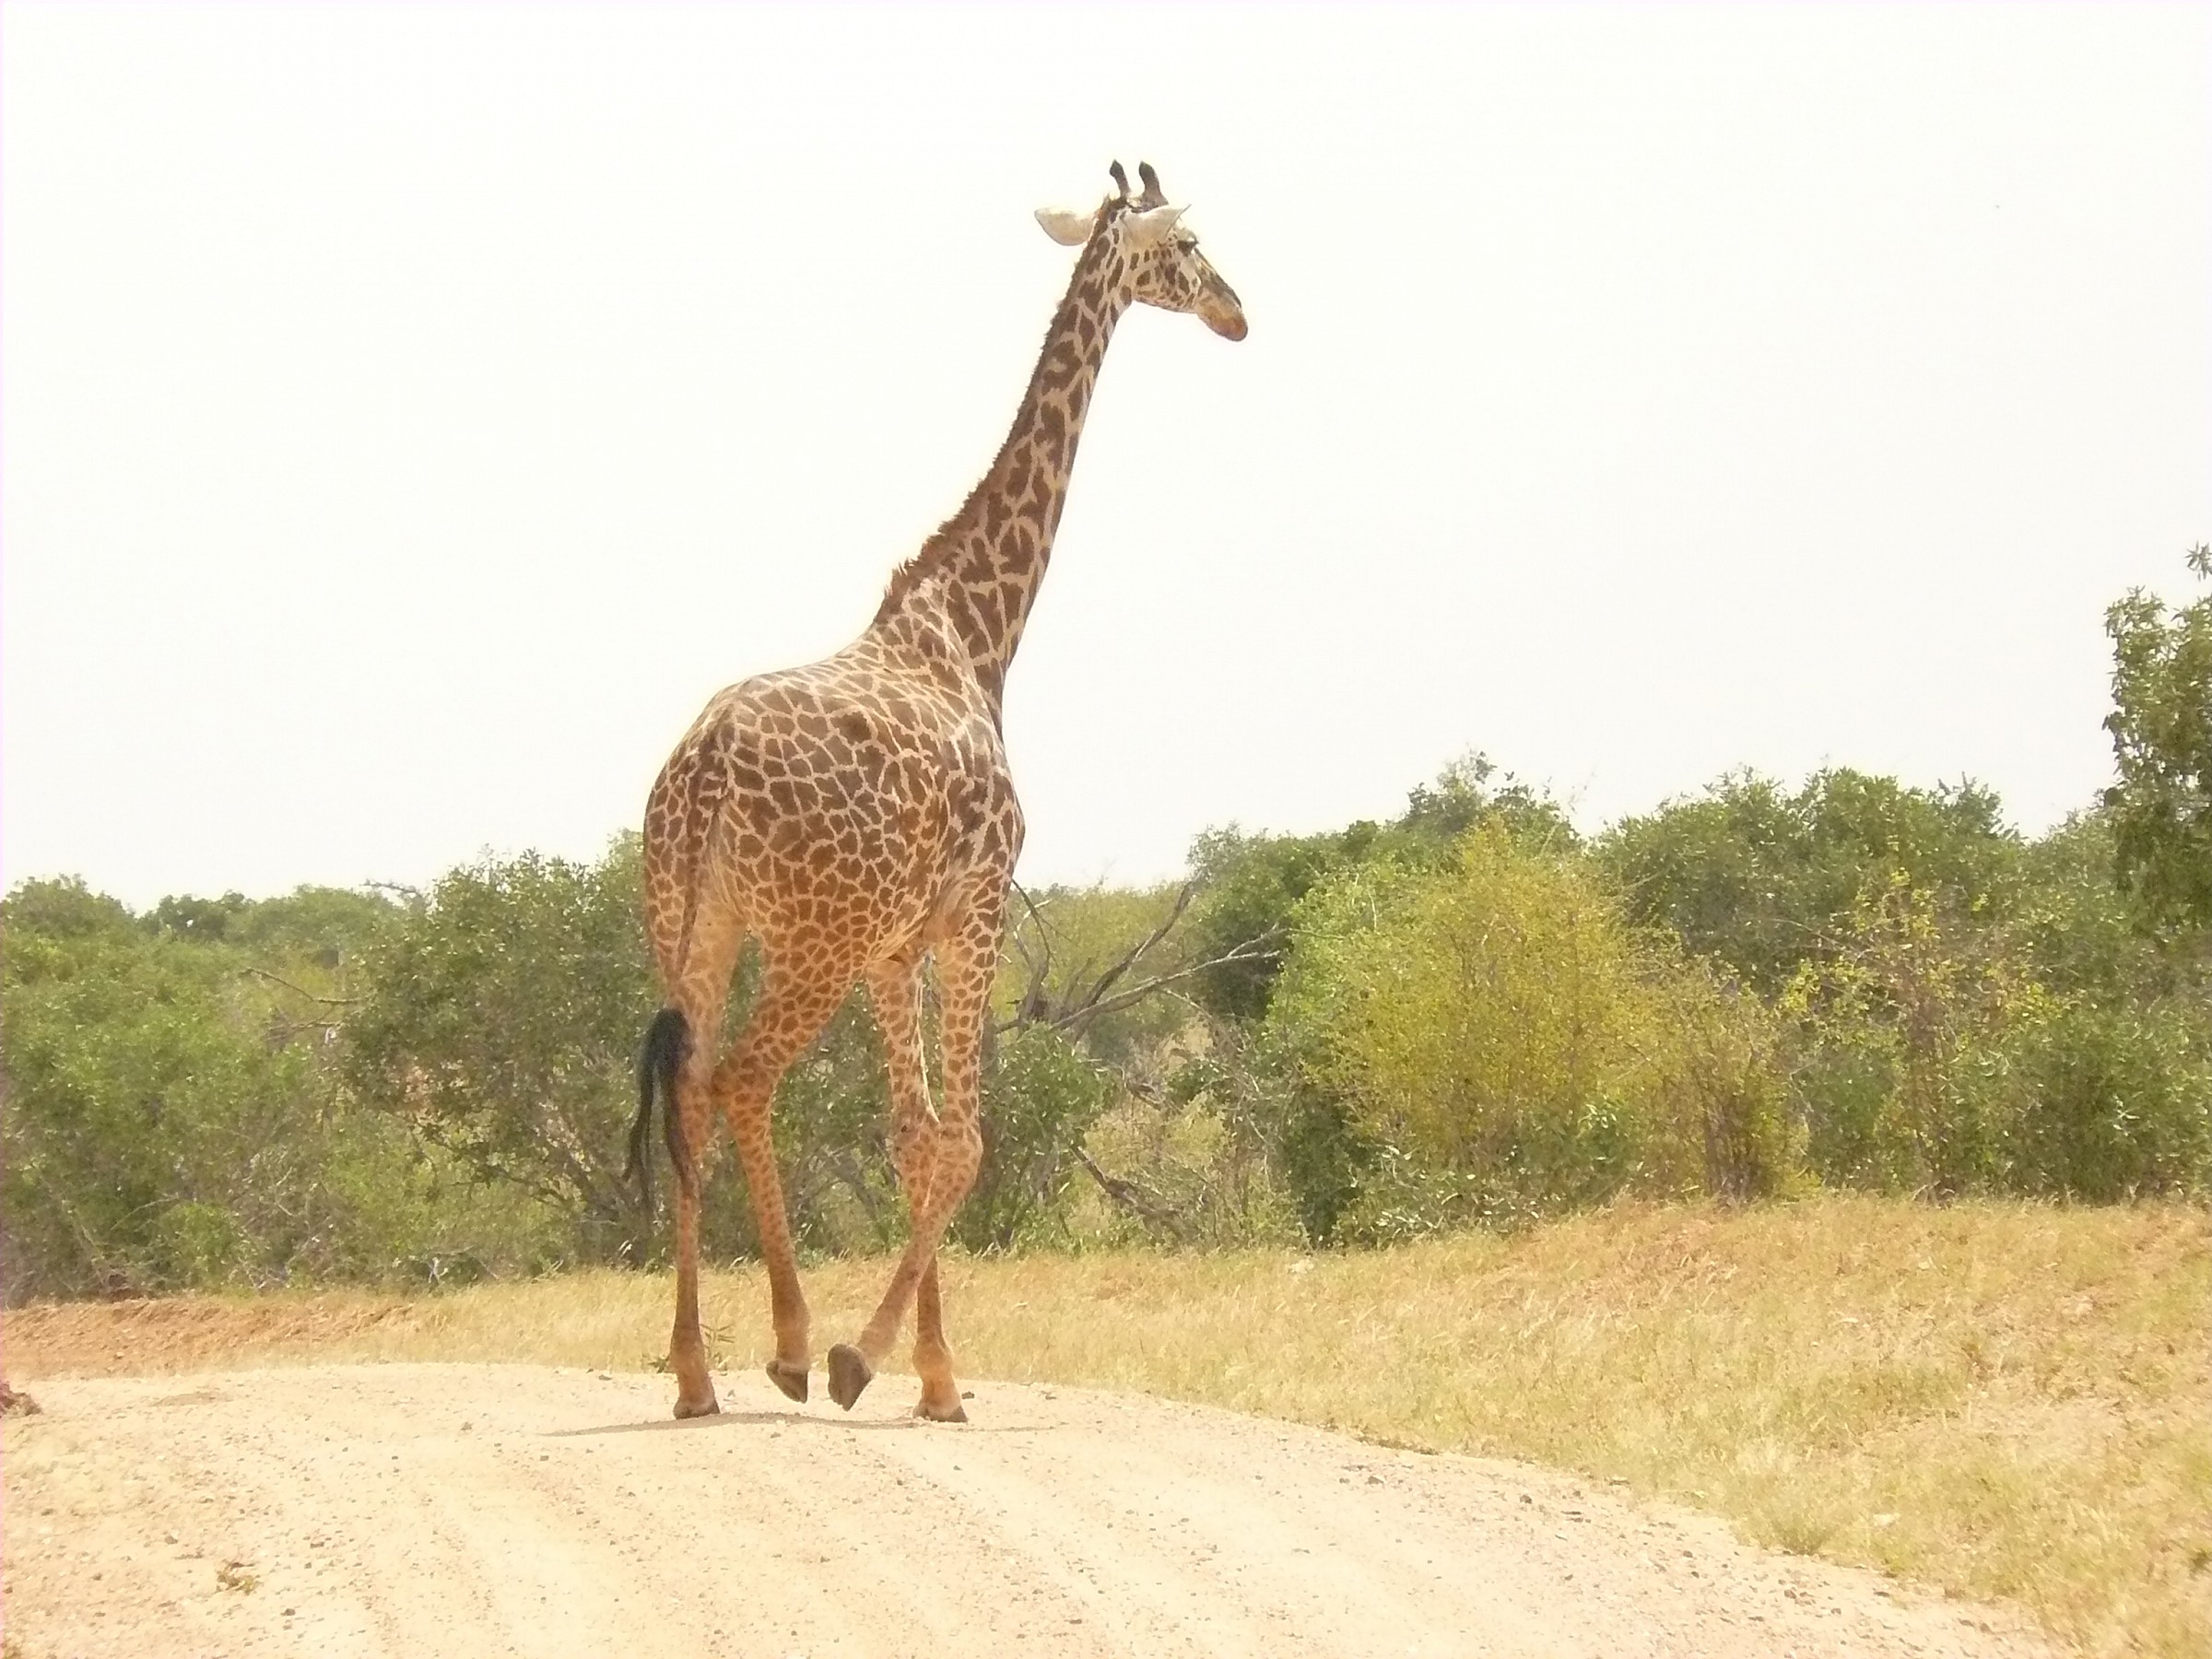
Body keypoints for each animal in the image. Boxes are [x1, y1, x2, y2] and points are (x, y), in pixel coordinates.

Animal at [629, 162, 1246, 1421]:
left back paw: (696, 1372)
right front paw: (882, 1362)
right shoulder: (974, 908)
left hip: (696, 927)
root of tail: (702, 773)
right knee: (747, 1081)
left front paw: (935, 1374)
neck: (976, 626)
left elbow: (912, 1136)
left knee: (693, 1090)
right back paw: (789, 1343)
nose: (1237, 312)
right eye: (1189, 245)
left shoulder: (893, 946)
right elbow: (964, 1141)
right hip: (808, 936)